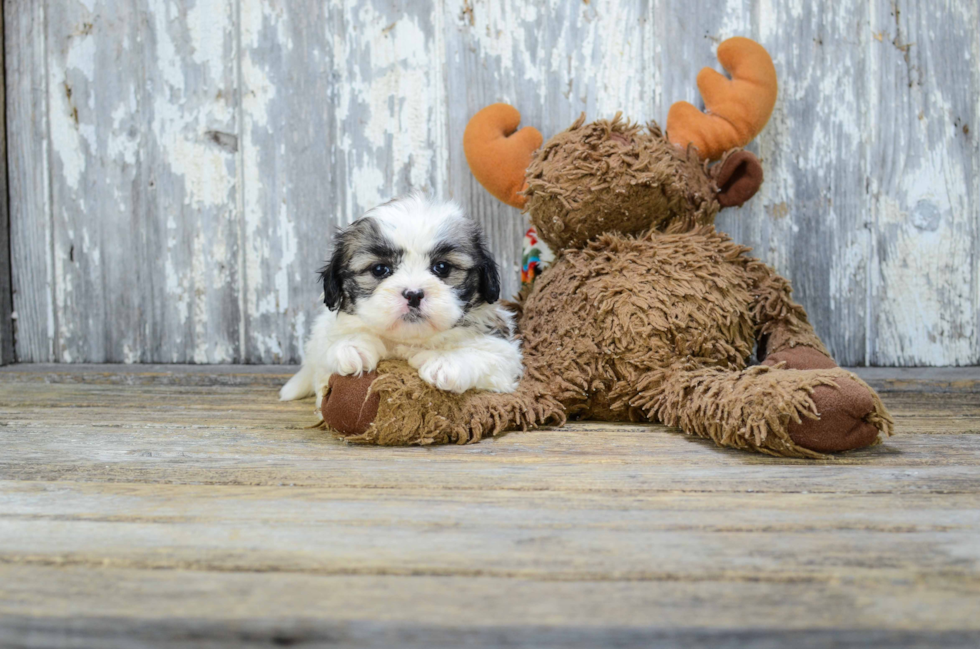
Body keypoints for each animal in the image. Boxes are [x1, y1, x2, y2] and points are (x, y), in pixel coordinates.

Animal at [280, 190, 524, 410]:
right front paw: (351, 346)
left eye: (442, 267)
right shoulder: (326, 333)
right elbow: (330, 348)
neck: (409, 339)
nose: (414, 294)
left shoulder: (503, 352)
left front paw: (446, 361)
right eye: (380, 269)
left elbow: (487, 353)